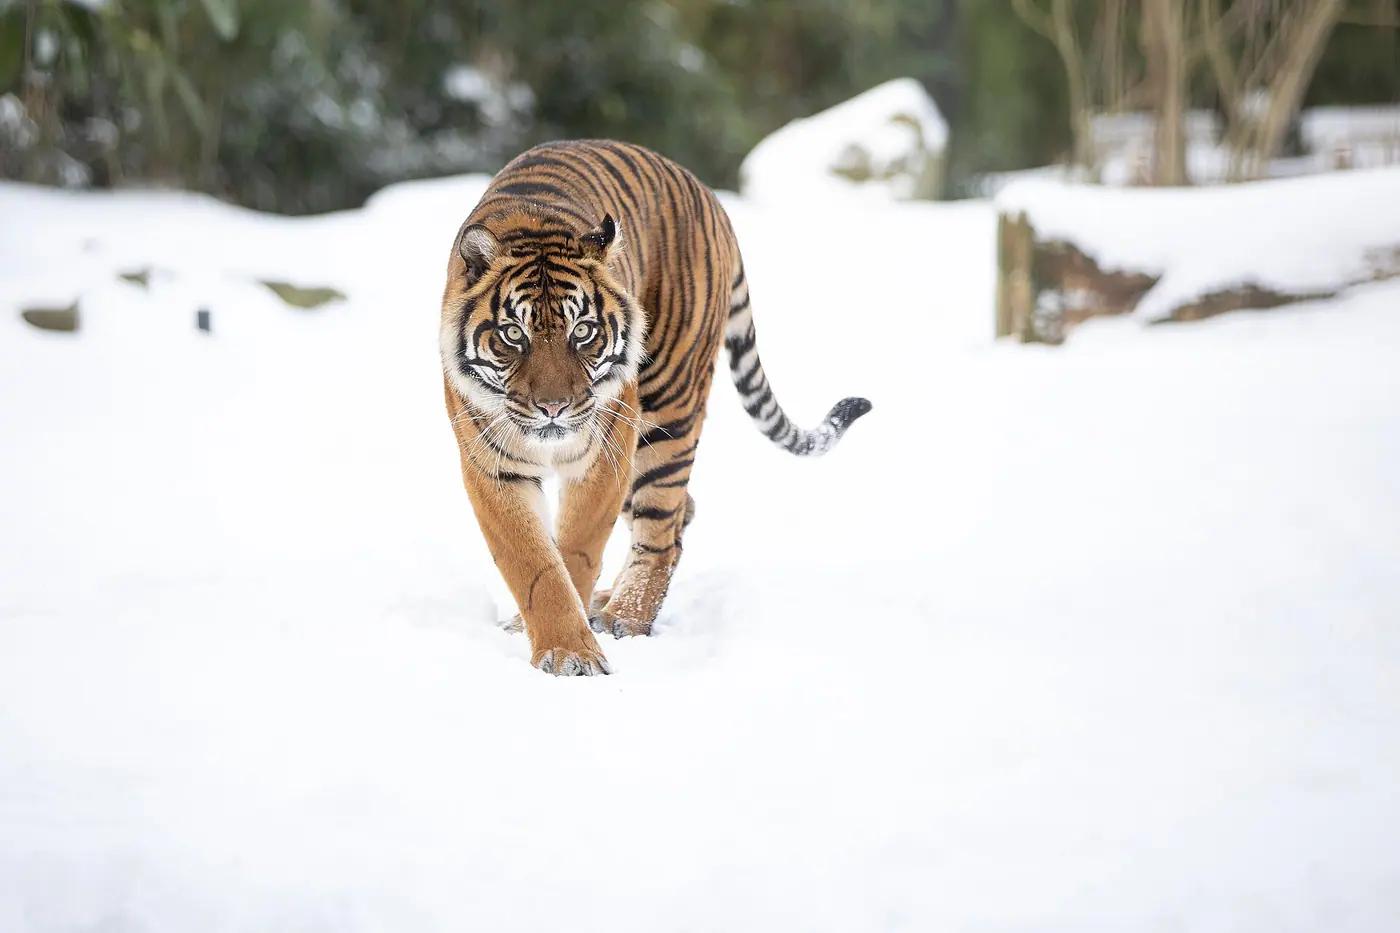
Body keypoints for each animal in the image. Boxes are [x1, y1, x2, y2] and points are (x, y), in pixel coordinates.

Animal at [440, 139, 870, 676]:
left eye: (583, 330)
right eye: (513, 334)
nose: (554, 408)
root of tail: (708, 195)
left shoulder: (604, 453)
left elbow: (575, 551)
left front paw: (574, 651)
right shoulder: (493, 466)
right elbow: (535, 564)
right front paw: (562, 646)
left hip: (666, 413)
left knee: (663, 527)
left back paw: (625, 616)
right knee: (684, 512)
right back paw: (608, 603)